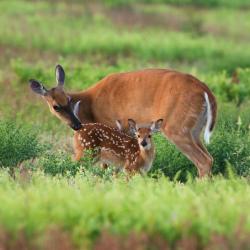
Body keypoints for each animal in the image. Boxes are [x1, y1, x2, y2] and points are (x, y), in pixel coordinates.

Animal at [29, 64, 217, 178]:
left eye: (67, 100)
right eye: (56, 106)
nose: (77, 125)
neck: (88, 105)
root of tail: (205, 90)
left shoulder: (111, 125)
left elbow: (107, 165)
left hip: (176, 127)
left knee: (203, 161)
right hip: (194, 130)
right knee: (210, 157)